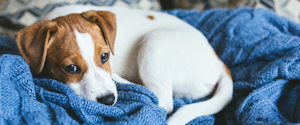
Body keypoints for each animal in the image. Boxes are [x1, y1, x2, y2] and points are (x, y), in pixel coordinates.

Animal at [15, 4, 233, 124]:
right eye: (71, 68)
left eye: (105, 57)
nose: (108, 100)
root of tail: (218, 61)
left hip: (154, 44)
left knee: (160, 100)